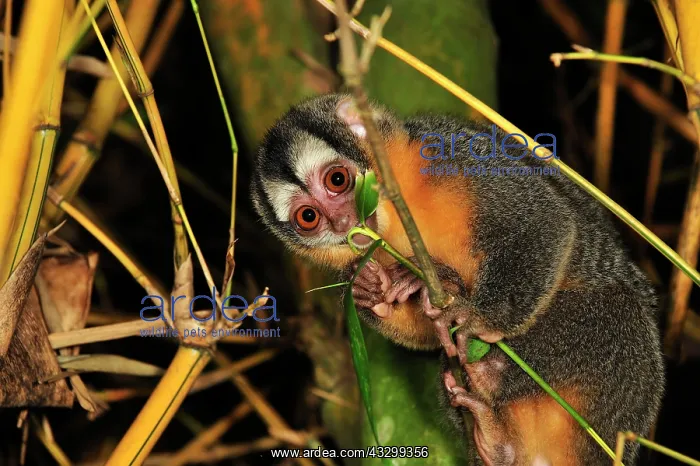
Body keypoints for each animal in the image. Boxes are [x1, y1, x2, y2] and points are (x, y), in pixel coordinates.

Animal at [250, 93, 665, 466]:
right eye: (308, 217)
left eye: (337, 180)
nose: (342, 223)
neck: (400, 209)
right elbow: (422, 338)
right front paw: (374, 292)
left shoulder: (453, 156)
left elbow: (546, 223)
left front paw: (473, 315)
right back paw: (496, 444)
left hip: (629, 392)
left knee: (616, 311)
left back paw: (492, 374)